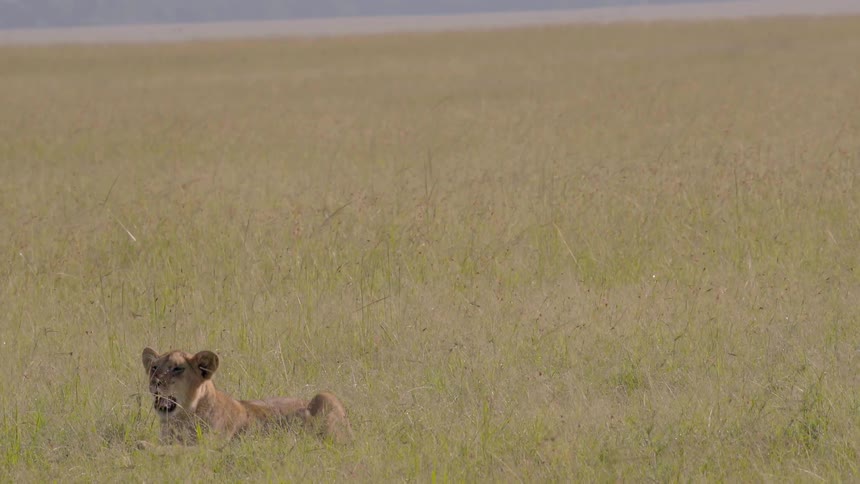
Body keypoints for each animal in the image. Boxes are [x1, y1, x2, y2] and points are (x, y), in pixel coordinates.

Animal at [141, 347, 352, 445]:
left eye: (177, 369)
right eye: (154, 367)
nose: (155, 382)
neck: (180, 420)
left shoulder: (210, 447)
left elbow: (174, 450)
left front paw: (142, 445)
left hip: (325, 397)